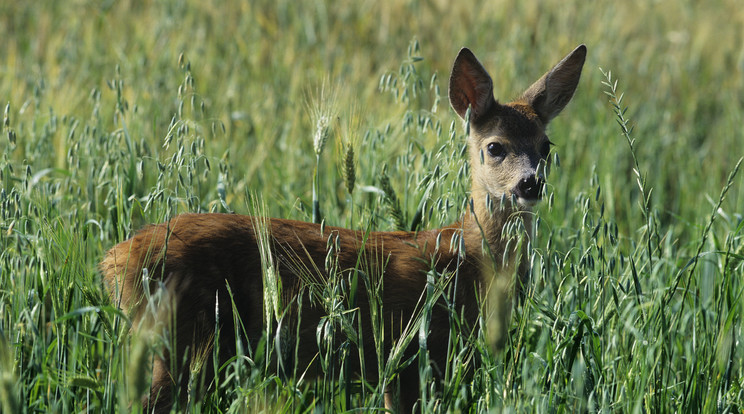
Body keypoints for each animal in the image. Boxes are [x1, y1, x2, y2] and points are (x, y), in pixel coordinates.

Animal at [100, 43, 588, 412]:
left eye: (546, 145)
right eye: (495, 147)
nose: (530, 183)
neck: (468, 259)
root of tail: (116, 259)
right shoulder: (411, 355)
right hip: (182, 339)